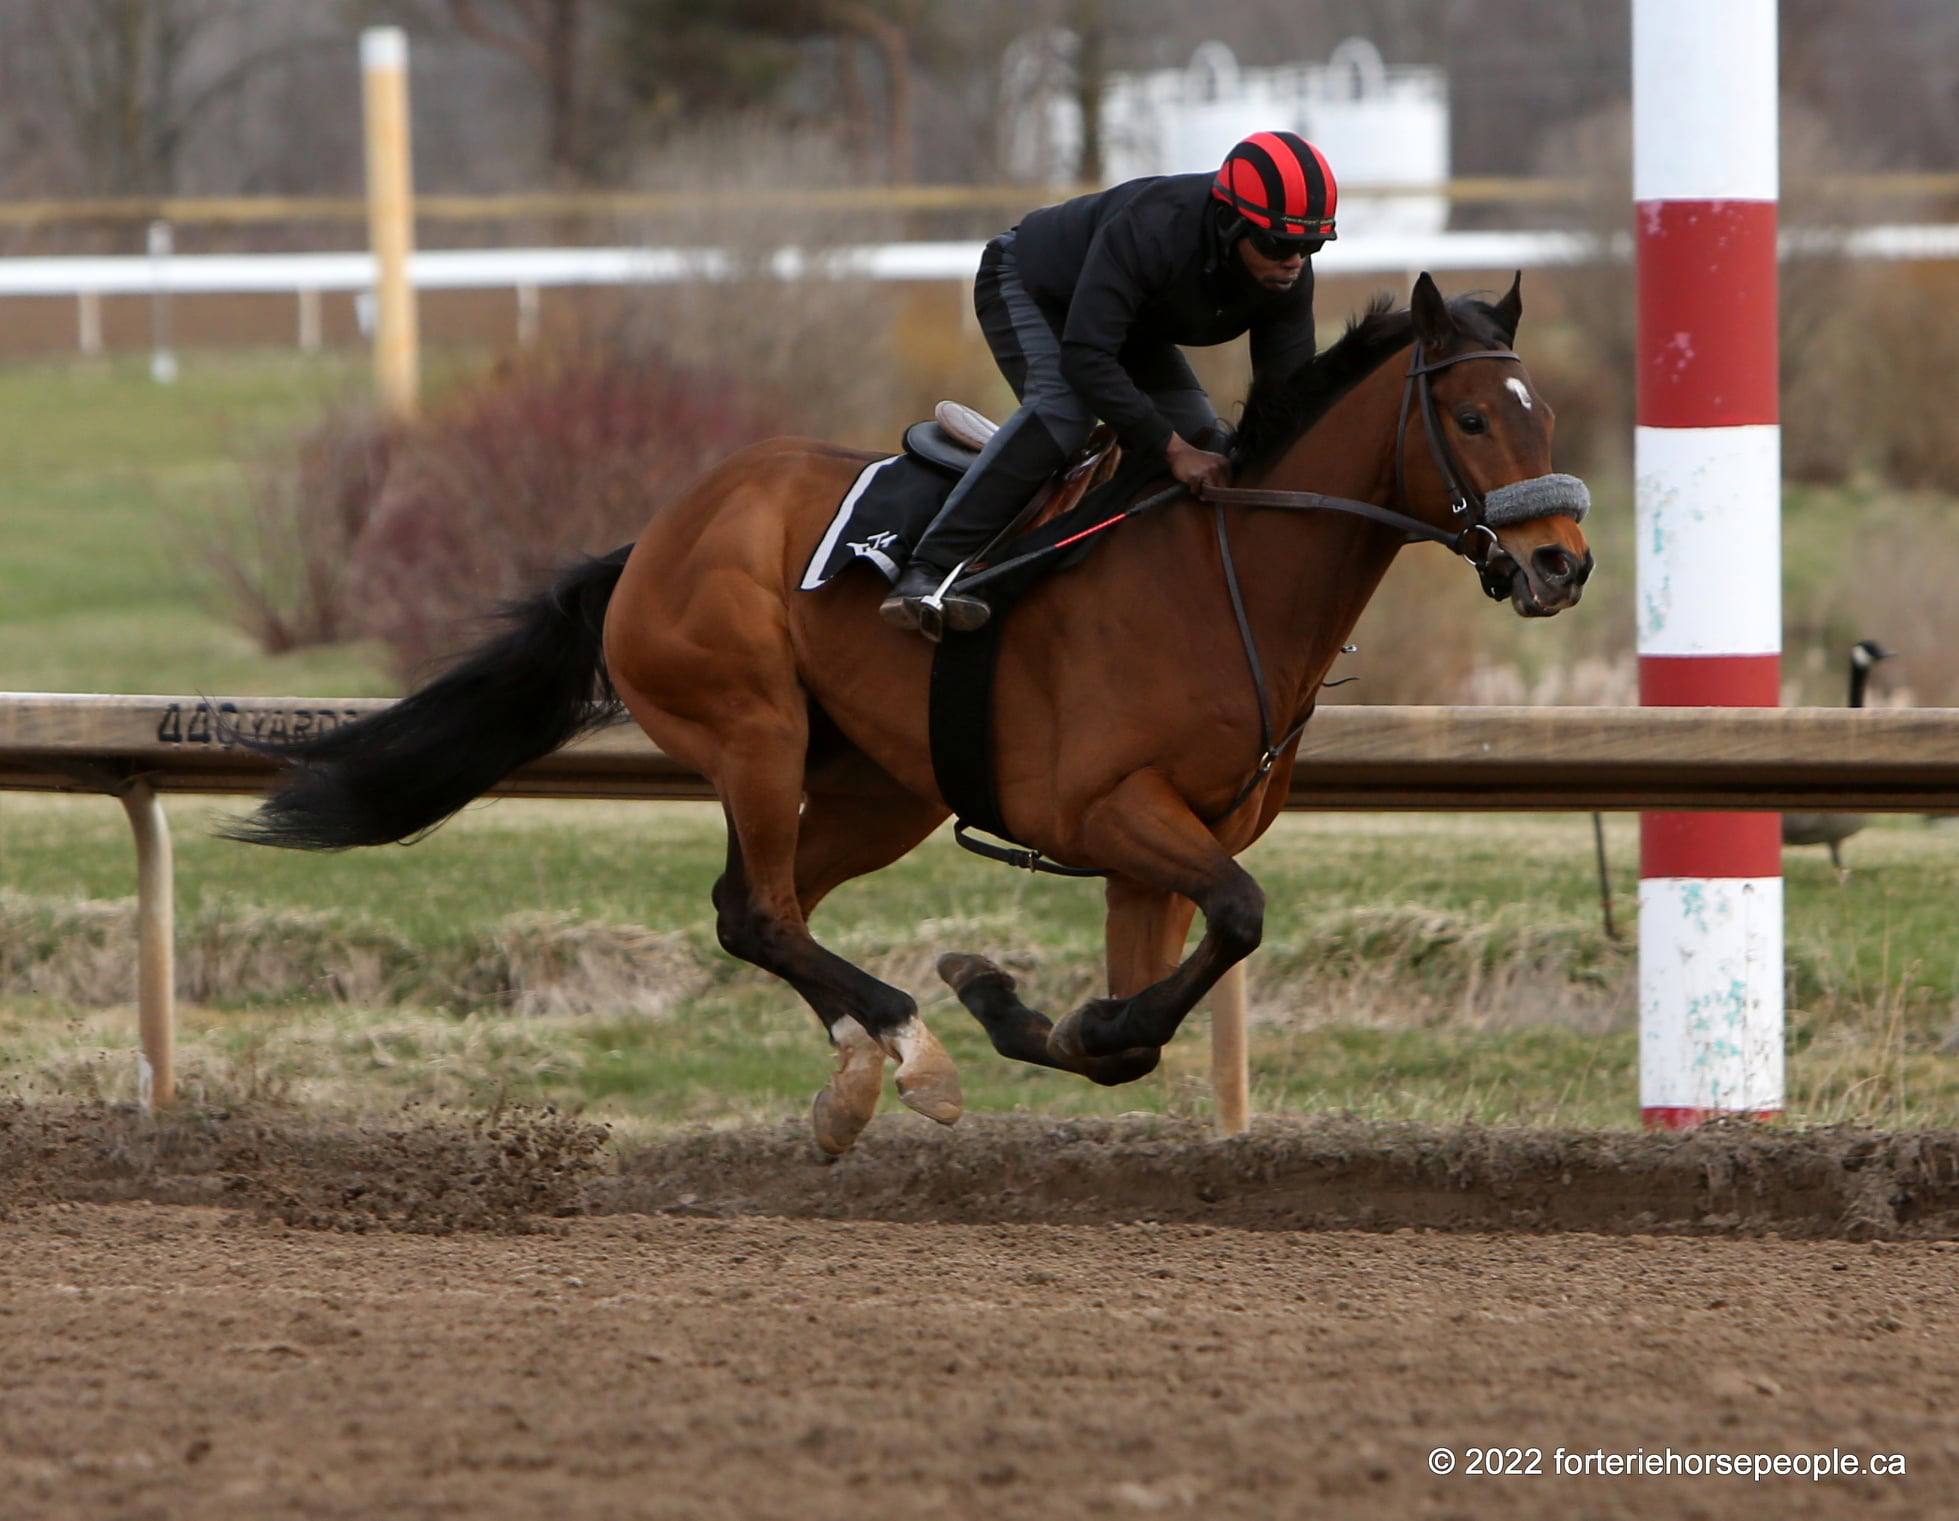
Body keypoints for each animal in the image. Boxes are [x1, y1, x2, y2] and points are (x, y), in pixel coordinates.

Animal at [229, 272, 1590, 1152]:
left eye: (1545, 416)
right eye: (1474, 416)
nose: (1561, 564)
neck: (1228, 579)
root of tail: (654, 535)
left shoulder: (1155, 849)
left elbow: (1149, 1021)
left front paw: (1040, 1007)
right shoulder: (1106, 811)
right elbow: (1237, 924)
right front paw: (994, 997)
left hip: (884, 786)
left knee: (750, 909)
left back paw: (857, 1076)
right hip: (755, 728)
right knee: (762, 911)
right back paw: (905, 1045)